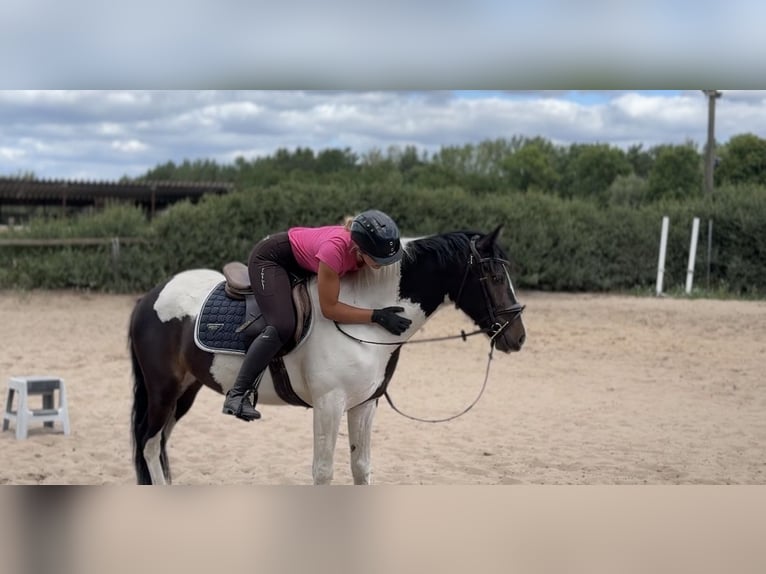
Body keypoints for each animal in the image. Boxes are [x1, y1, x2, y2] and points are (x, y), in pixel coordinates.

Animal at [128, 225, 526, 485]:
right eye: (493, 276)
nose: (517, 337)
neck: (365, 316)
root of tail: (151, 296)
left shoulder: (364, 404)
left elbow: (360, 467)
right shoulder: (329, 404)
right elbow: (323, 471)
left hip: (185, 391)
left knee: (160, 445)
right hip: (163, 391)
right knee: (148, 445)